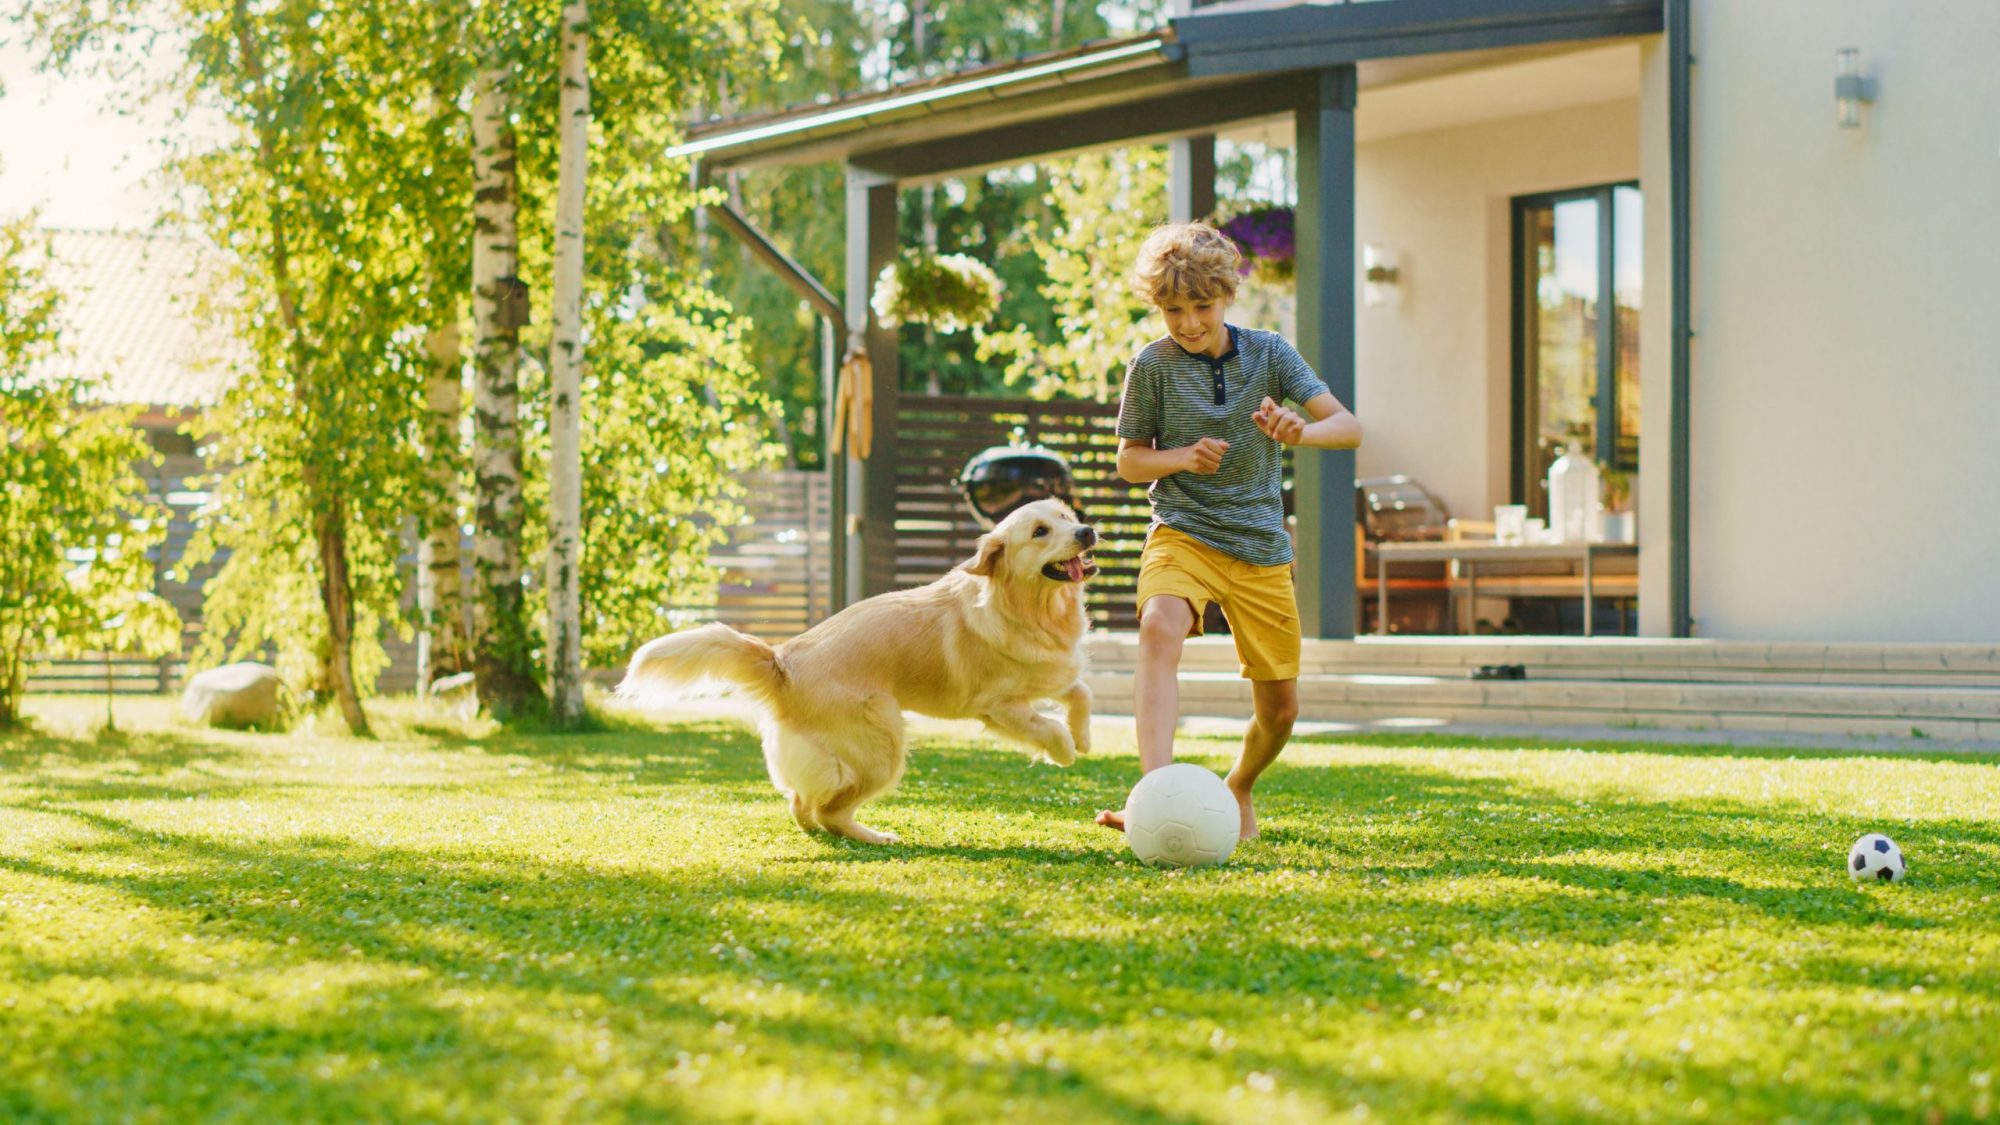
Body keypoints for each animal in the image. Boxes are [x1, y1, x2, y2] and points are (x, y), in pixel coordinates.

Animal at [620, 498, 1104, 840]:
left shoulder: (1052, 671)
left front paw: (1083, 736)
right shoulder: (998, 707)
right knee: (829, 810)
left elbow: (1082, 692)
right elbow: (1048, 727)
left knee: (801, 804)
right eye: (1040, 531)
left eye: (1065, 515)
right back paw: (874, 836)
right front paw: (1065, 751)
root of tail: (782, 660)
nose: (1086, 530)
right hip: (883, 745)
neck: (1033, 610)